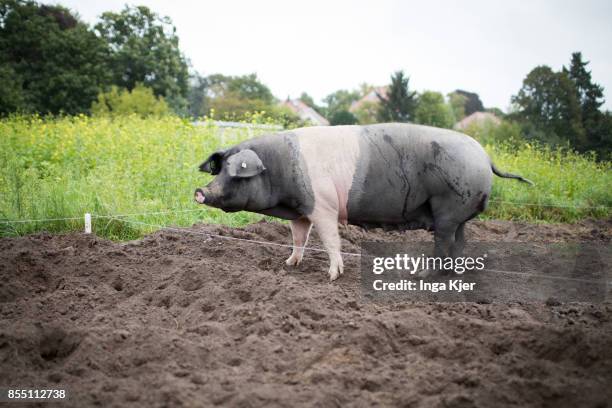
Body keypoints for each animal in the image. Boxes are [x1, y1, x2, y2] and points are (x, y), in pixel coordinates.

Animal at [192, 122, 532, 280]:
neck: (279, 168)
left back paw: (421, 276)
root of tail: (485, 157)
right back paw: (455, 274)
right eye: (220, 169)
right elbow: (299, 238)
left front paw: (333, 276)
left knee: (444, 242)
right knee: (461, 242)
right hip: (458, 215)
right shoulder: (301, 211)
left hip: (448, 209)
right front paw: (288, 265)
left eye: (236, 173)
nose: (200, 191)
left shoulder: (324, 207)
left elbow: (331, 241)